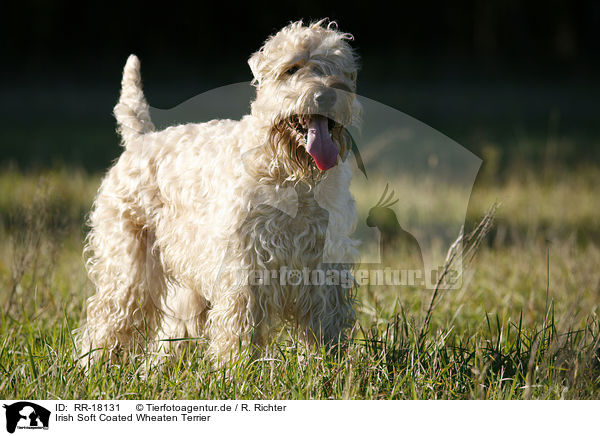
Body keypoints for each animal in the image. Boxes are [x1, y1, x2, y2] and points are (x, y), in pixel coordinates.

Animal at [79, 19, 360, 364]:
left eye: (340, 70)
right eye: (291, 68)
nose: (325, 96)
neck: (292, 176)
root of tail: (139, 140)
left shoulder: (325, 262)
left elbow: (325, 323)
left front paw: (327, 366)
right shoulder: (244, 263)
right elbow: (240, 322)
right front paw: (236, 367)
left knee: (171, 333)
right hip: (127, 264)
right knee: (109, 317)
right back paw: (93, 364)